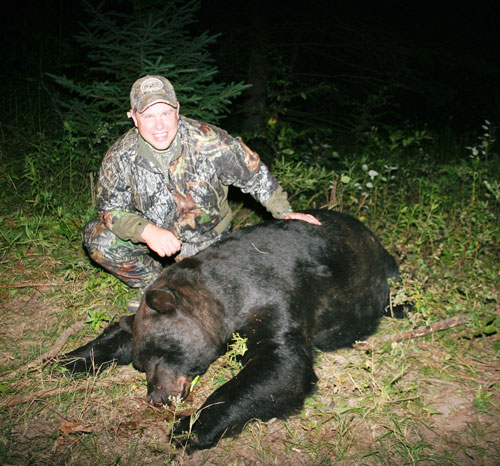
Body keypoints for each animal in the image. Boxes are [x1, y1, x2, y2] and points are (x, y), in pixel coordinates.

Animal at [59, 210, 402, 452]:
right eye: (141, 364)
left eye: (163, 351)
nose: (156, 397)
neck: (224, 290)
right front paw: (67, 359)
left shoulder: (276, 297)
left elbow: (280, 367)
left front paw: (189, 428)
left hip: (385, 272)